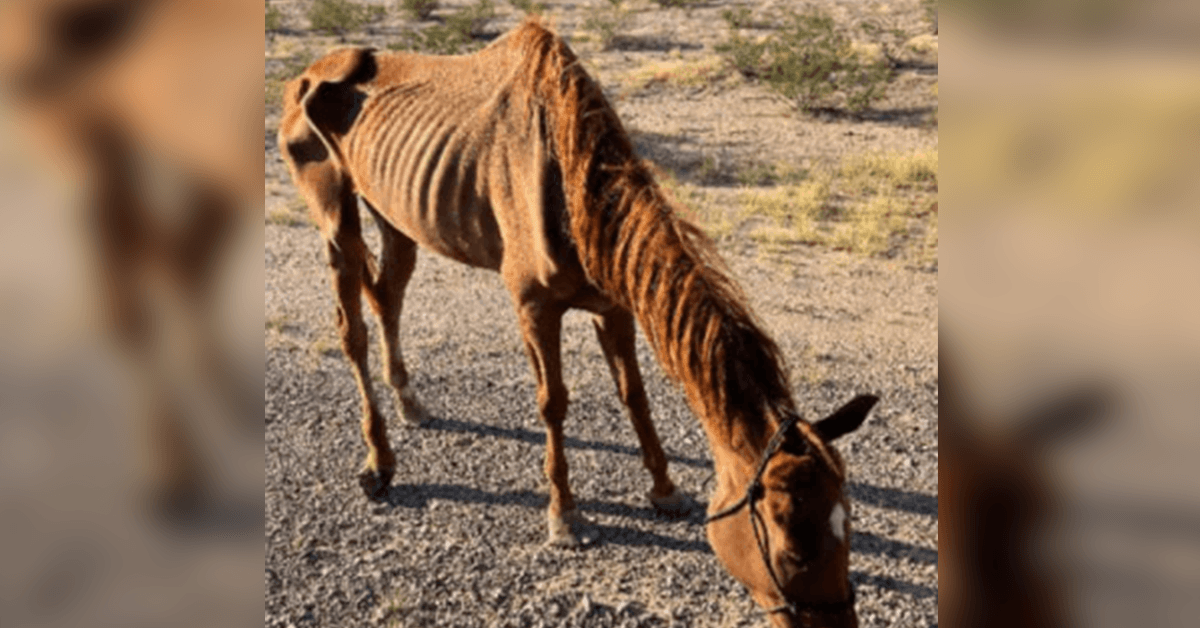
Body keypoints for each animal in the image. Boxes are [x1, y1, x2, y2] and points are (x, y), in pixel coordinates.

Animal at [280, 17, 883, 624]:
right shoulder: (534, 308)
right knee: (352, 331)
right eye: (789, 548)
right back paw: (379, 462)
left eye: (848, 524)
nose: (839, 622)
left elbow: (634, 395)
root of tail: (305, 75)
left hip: (396, 219)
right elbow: (554, 403)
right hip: (336, 219)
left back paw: (409, 403)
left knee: (388, 300)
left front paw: (665, 490)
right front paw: (564, 516)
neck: (569, 185)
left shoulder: (614, 306)